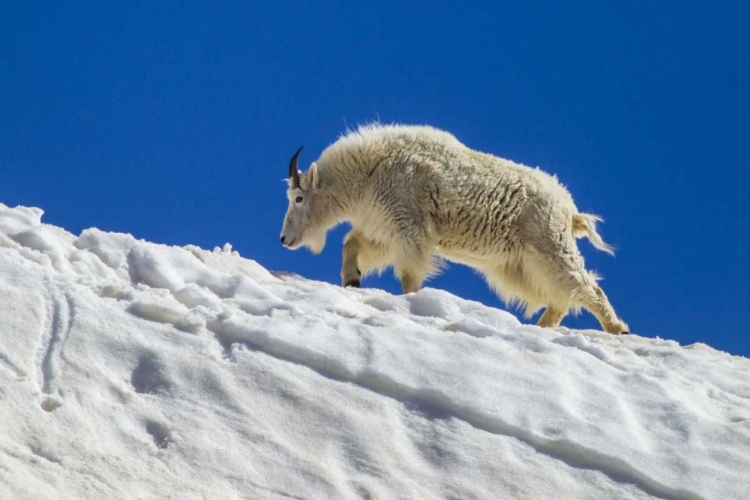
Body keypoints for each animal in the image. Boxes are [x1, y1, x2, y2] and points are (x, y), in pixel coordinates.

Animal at [280, 124, 632, 334]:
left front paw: (414, 303)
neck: (369, 170)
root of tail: (569, 209)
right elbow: (351, 243)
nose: (284, 239)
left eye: (298, 198)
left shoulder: (409, 228)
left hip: (548, 245)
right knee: (560, 298)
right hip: (517, 264)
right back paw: (542, 328)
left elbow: (409, 275)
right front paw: (352, 280)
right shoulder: (385, 229)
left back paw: (618, 329)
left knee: (586, 287)